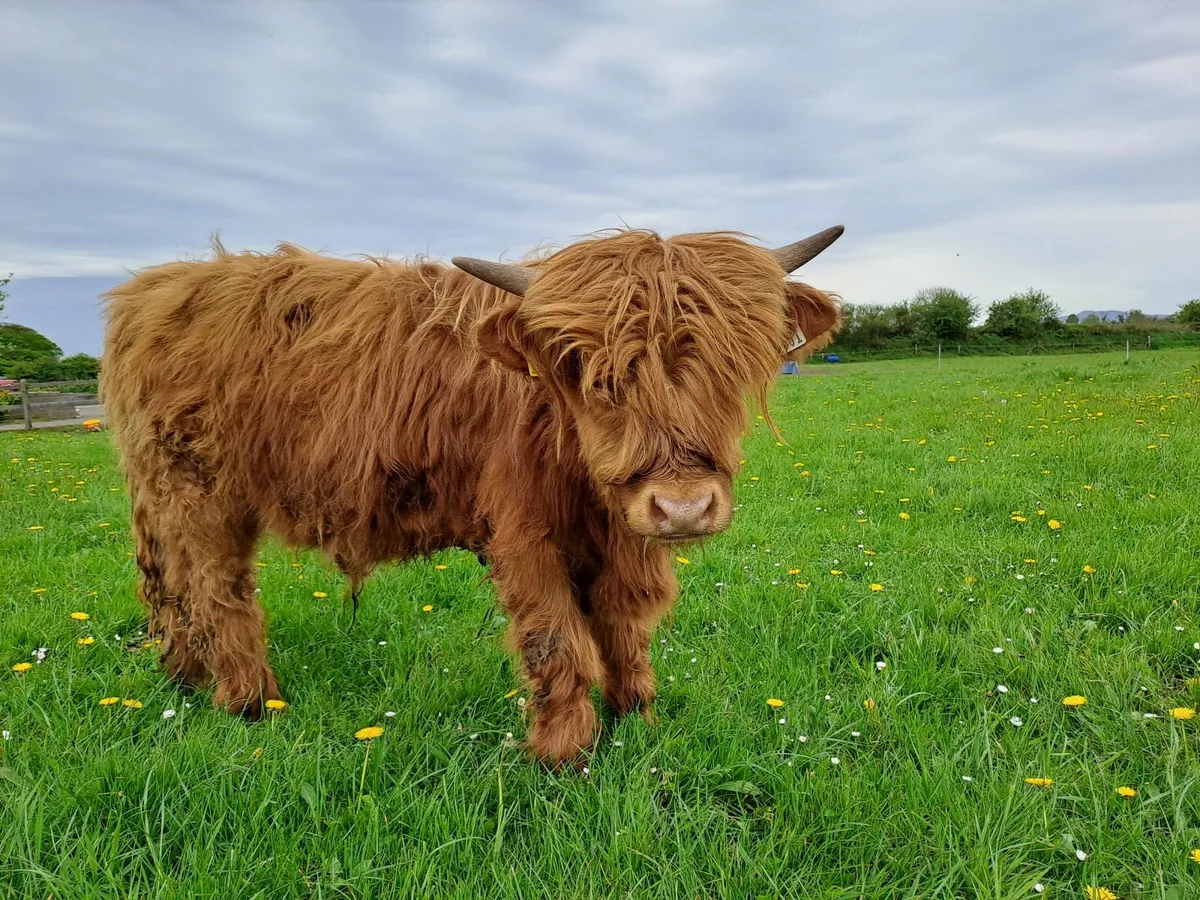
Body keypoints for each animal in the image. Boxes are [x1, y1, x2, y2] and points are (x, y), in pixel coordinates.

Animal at [98, 225, 844, 767]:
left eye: (732, 363)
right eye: (587, 368)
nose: (683, 506)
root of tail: (153, 289)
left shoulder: (623, 536)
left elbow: (624, 628)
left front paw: (637, 719)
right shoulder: (524, 534)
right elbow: (556, 639)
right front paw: (563, 755)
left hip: (164, 498)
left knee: (170, 590)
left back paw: (185, 679)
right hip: (198, 493)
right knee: (215, 591)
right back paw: (250, 703)